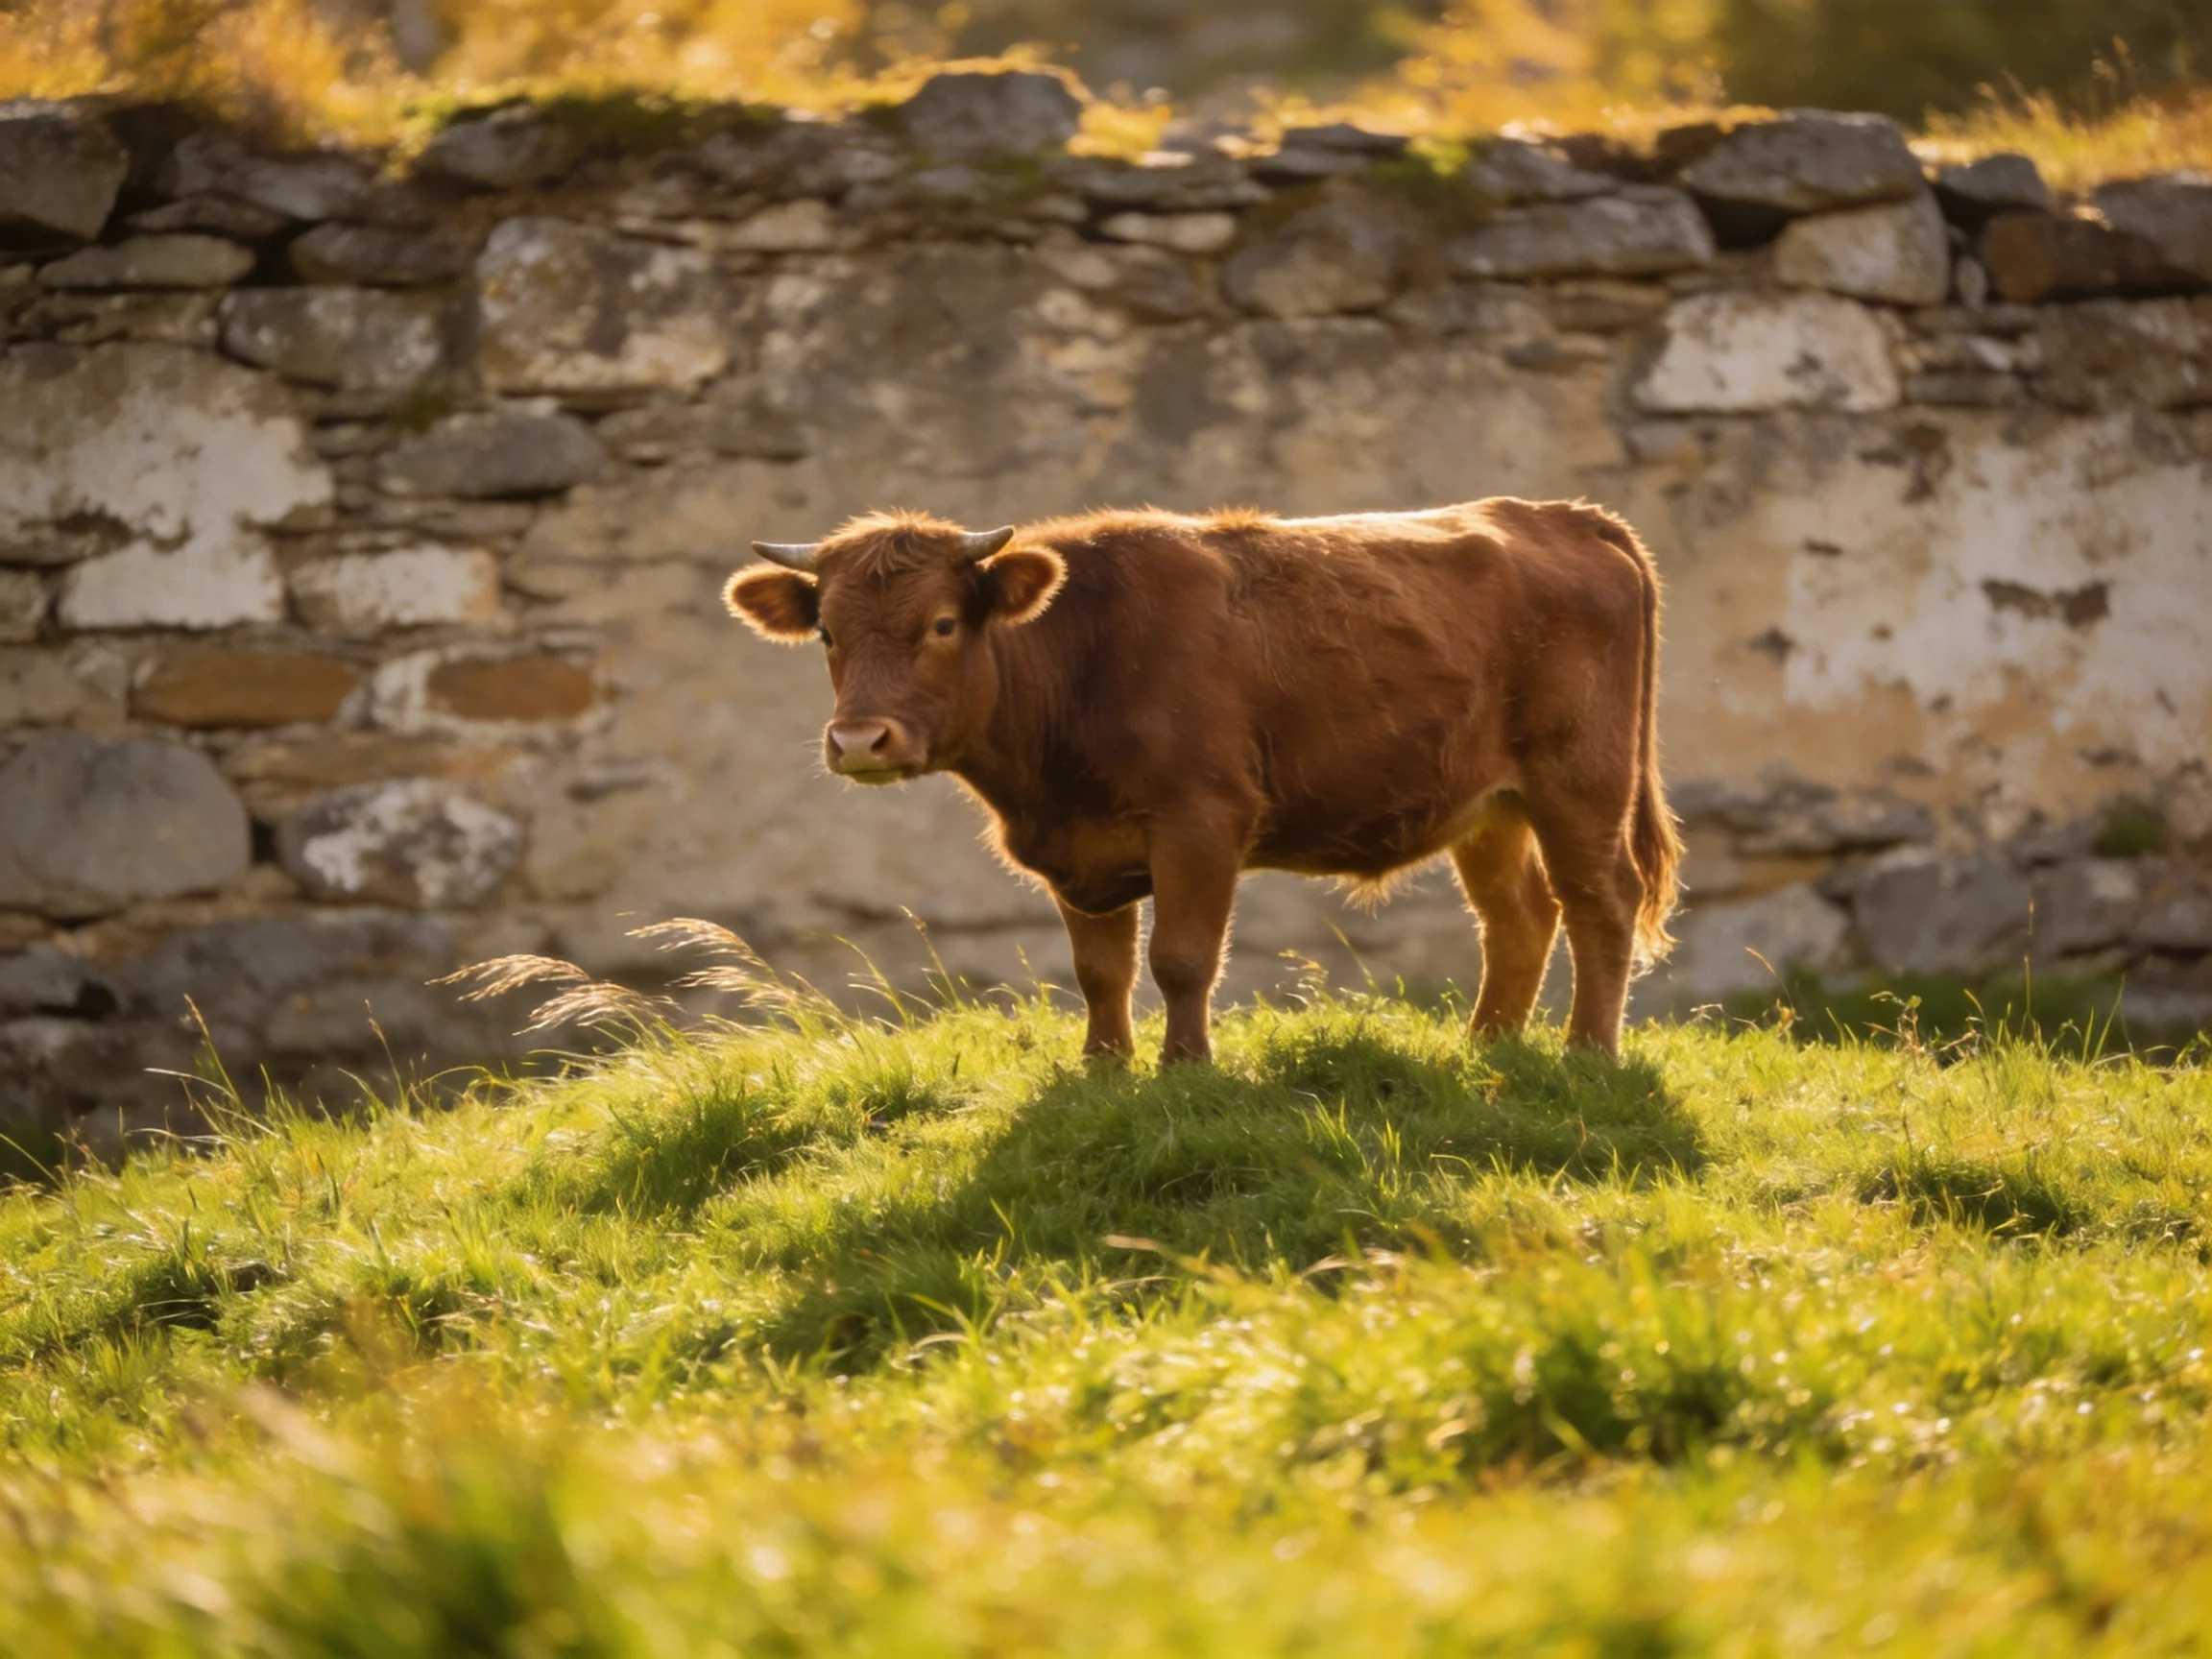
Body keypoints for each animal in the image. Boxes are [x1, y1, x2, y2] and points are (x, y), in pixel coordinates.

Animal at [725, 501, 1680, 1065]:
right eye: (827, 633)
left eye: (943, 623)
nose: (861, 739)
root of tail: (1559, 516)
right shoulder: (1078, 848)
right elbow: (1100, 969)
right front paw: (1103, 1068)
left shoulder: (1199, 821)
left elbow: (1181, 959)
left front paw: (1185, 1068)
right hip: (1491, 807)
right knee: (1520, 916)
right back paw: (1486, 1047)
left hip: (1580, 780)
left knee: (1600, 901)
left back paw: (1587, 1054)